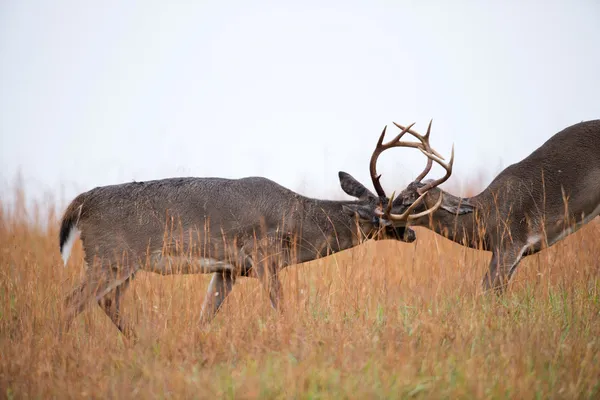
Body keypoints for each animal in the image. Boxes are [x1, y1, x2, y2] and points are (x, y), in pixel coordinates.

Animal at [59, 173, 418, 340]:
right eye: (388, 217)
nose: (412, 234)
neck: (296, 219)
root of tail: (81, 203)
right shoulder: (263, 255)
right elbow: (282, 307)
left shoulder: (229, 269)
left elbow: (205, 316)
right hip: (109, 258)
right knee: (72, 302)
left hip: (124, 264)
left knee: (107, 301)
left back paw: (140, 342)